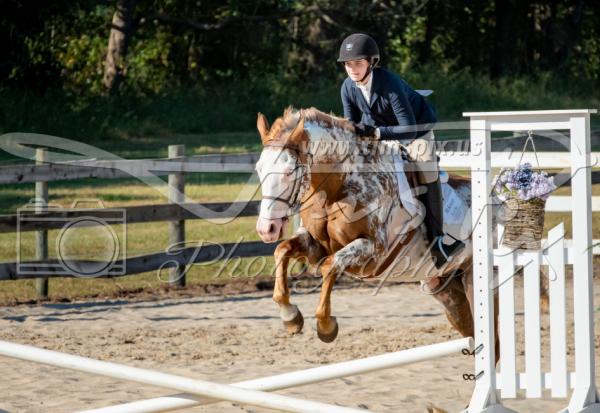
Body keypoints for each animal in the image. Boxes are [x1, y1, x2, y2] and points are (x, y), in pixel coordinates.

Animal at [253, 105, 496, 350]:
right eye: (259, 169)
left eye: (288, 172)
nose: (267, 229)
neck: (336, 188)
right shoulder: (316, 245)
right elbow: (282, 250)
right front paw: (291, 318)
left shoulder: (374, 251)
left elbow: (331, 266)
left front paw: (326, 326)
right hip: (447, 291)